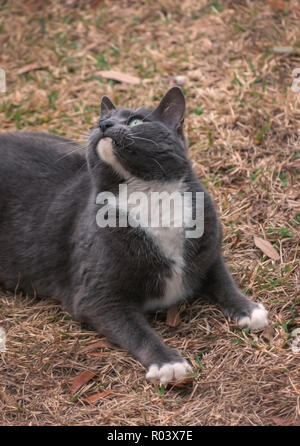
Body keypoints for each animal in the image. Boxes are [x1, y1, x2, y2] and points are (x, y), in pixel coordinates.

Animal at [0, 87, 268, 384]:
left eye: (135, 121)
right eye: (100, 121)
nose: (103, 125)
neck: (148, 193)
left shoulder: (208, 250)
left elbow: (224, 281)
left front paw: (249, 310)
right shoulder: (97, 297)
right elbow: (137, 330)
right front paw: (167, 363)